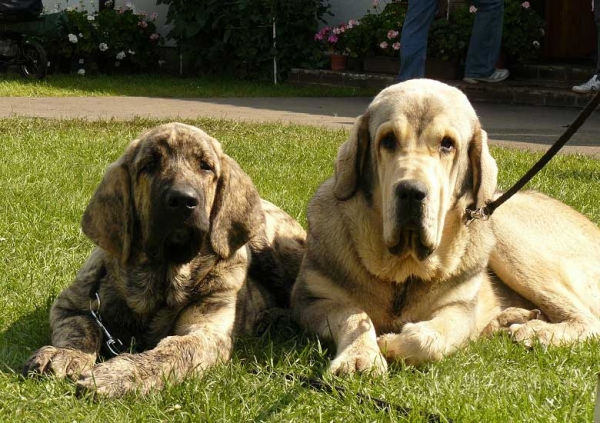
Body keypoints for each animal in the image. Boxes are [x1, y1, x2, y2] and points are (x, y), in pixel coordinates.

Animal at [22, 121, 304, 398]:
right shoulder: (70, 304)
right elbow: (81, 326)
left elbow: (173, 351)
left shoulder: (208, 331)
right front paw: (66, 353)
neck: (163, 276)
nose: (183, 200)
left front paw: (121, 374)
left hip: (271, 246)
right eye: (149, 165)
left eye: (205, 166)